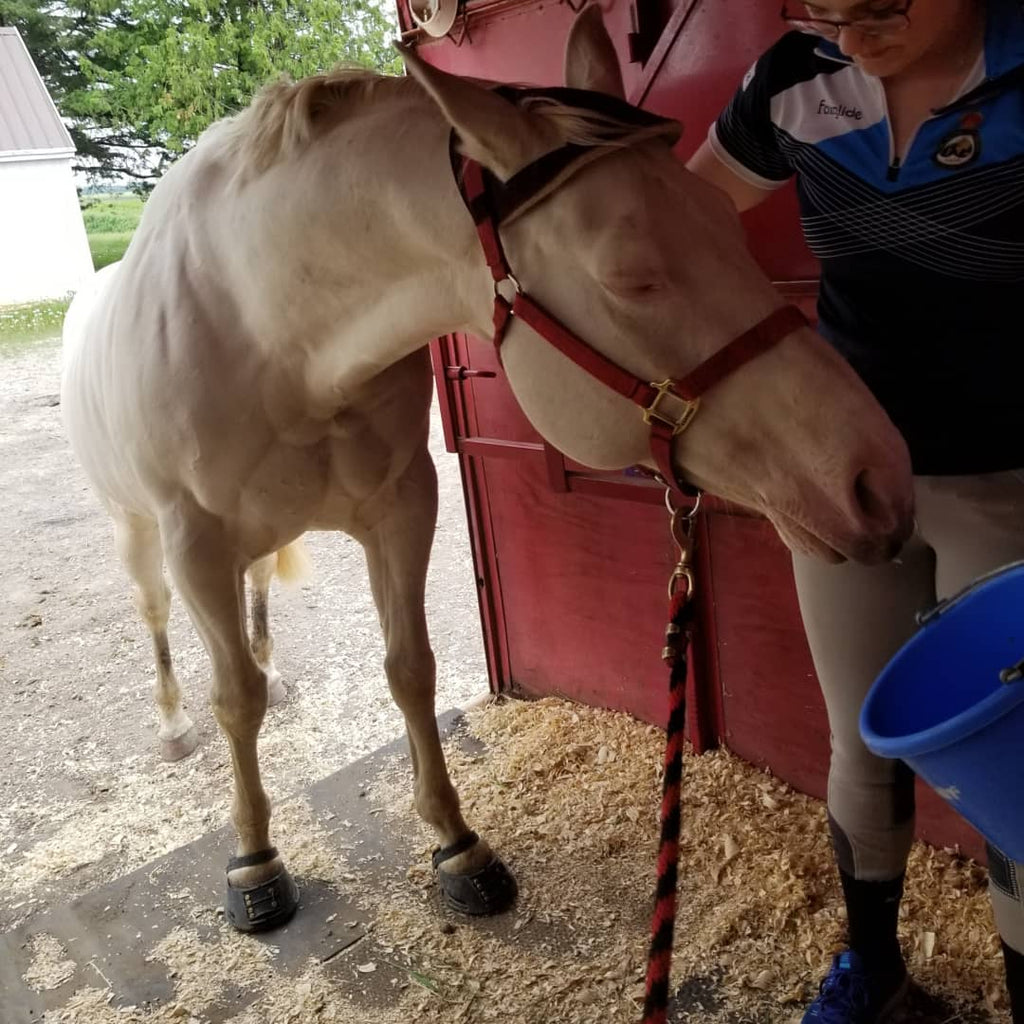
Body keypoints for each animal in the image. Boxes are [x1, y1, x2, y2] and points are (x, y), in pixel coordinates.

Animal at [61, 2, 913, 929]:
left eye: (726, 219)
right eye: (631, 277)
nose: (877, 476)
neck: (274, 332)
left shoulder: (402, 505)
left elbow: (410, 668)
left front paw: (456, 843)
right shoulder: (199, 543)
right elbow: (235, 702)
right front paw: (254, 862)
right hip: (142, 536)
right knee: (160, 622)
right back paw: (173, 724)